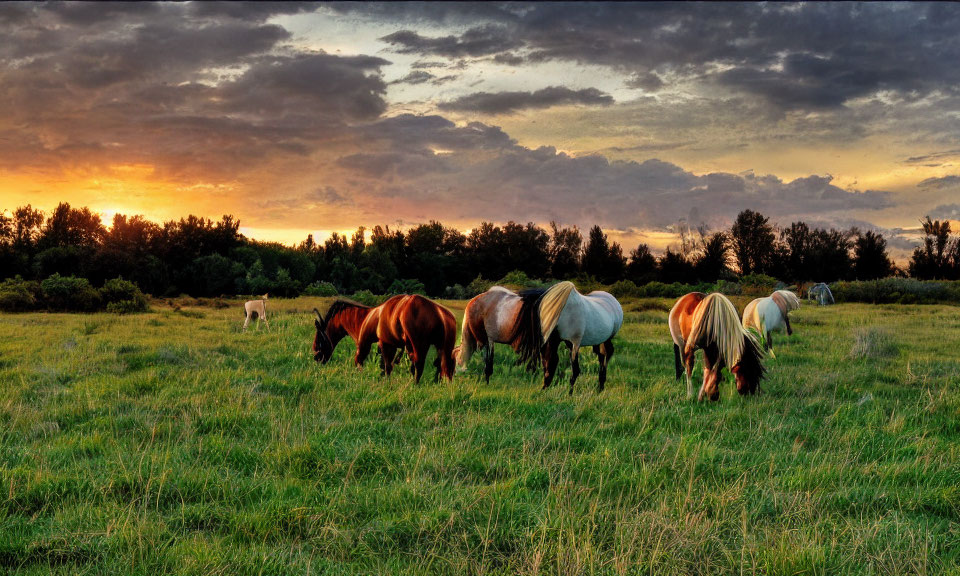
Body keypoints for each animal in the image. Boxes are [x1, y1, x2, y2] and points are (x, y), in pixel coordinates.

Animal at [312, 296, 454, 382]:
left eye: (319, 340)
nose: (317, 359)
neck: (365, 318)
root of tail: (438, 313)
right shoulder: (388, 345)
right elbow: (384, 365)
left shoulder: (370, 344)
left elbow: (375, 364)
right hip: (444, 348)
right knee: (444, 367)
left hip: (419, 345)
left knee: (419, 365)